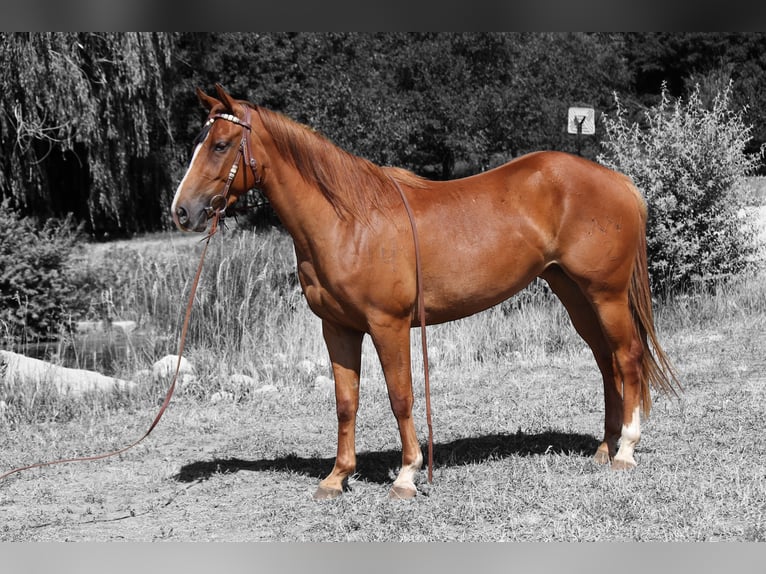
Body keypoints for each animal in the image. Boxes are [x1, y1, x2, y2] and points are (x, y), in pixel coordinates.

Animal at [171, 84, 679, 500]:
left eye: (220, 145)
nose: (181, 211)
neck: (348, 221)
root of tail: (619, 181)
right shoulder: (338, 328)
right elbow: (345, 402)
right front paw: (337, 477)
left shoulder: (388, 325)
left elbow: (401, 396)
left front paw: (407, 475)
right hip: (574, 294)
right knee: (606, 362)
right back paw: (604, 448)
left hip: (606, 295)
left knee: (628, 357)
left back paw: (625, 450)